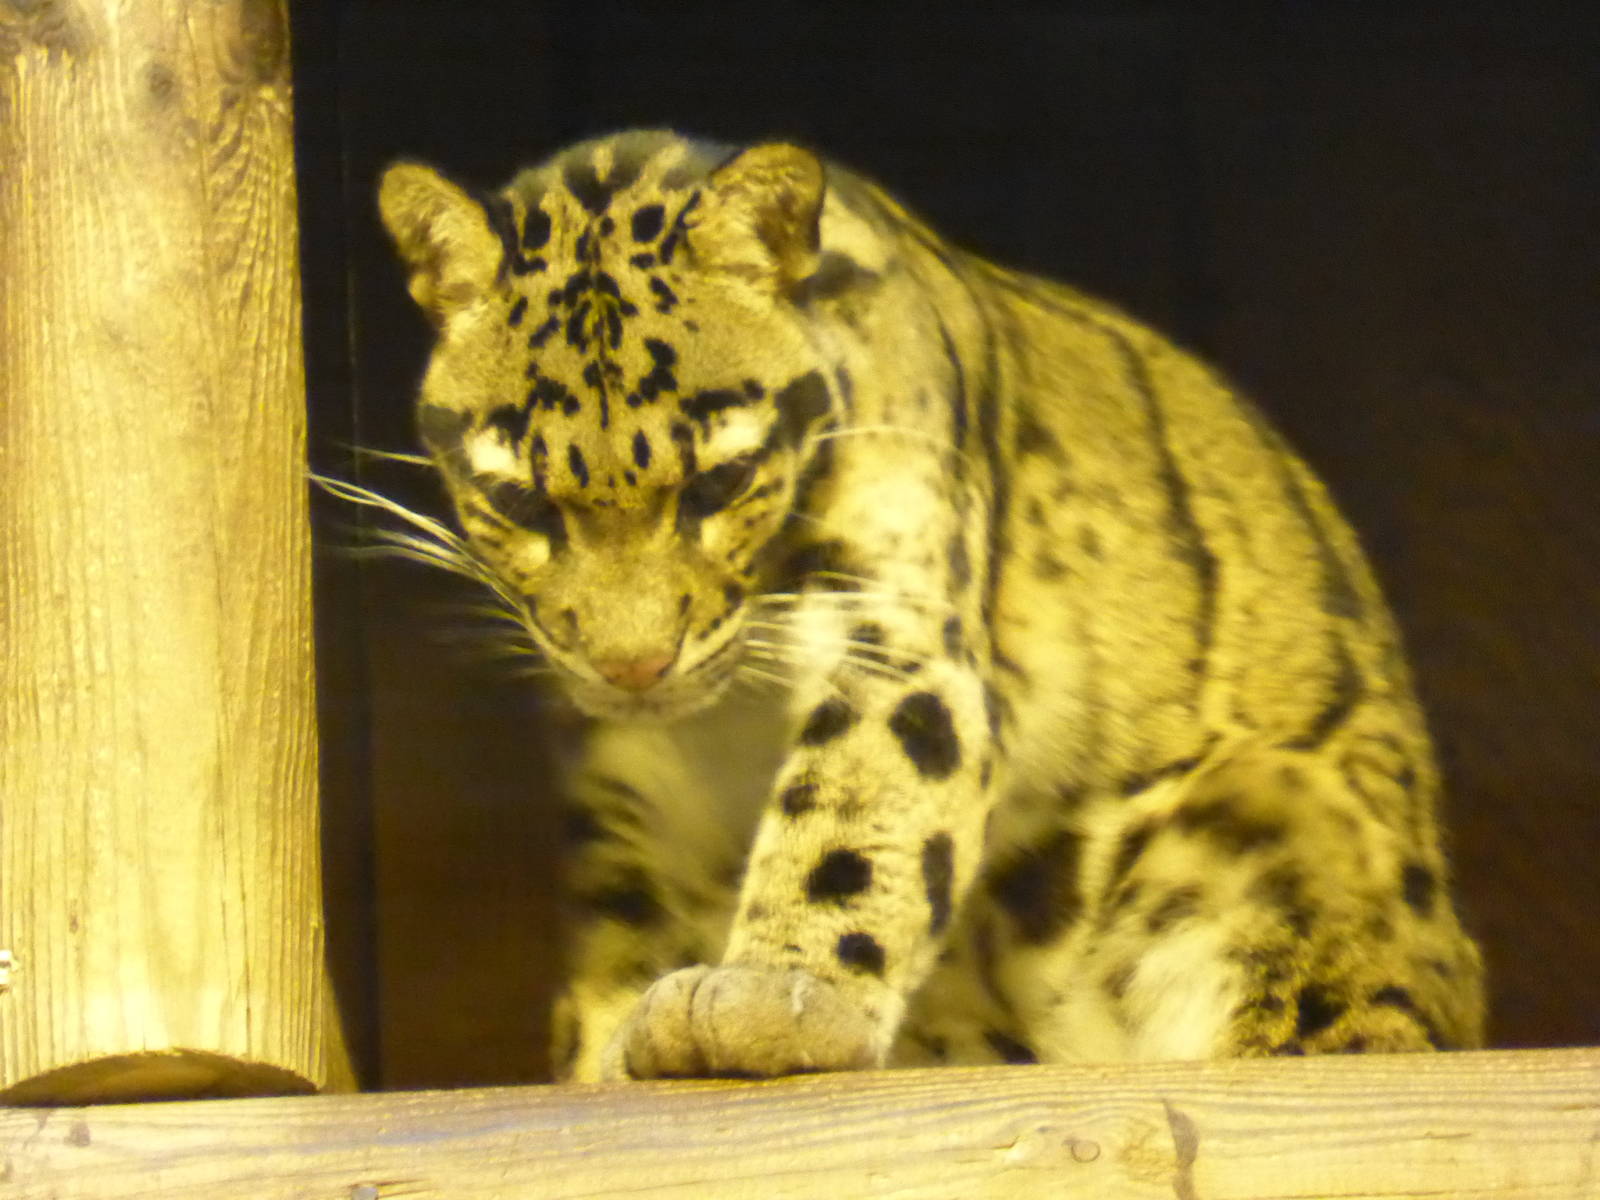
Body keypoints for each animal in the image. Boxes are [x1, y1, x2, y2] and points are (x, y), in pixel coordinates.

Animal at [360, 129, 1484, 1082]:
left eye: (719, 484)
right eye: (519, 501)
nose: (634, 665)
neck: (724, 721)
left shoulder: (902, 635)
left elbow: (851, 819)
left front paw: (768, 996)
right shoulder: (626, 792)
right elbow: (623, 938)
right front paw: (608, 1055)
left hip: (1267, 822)